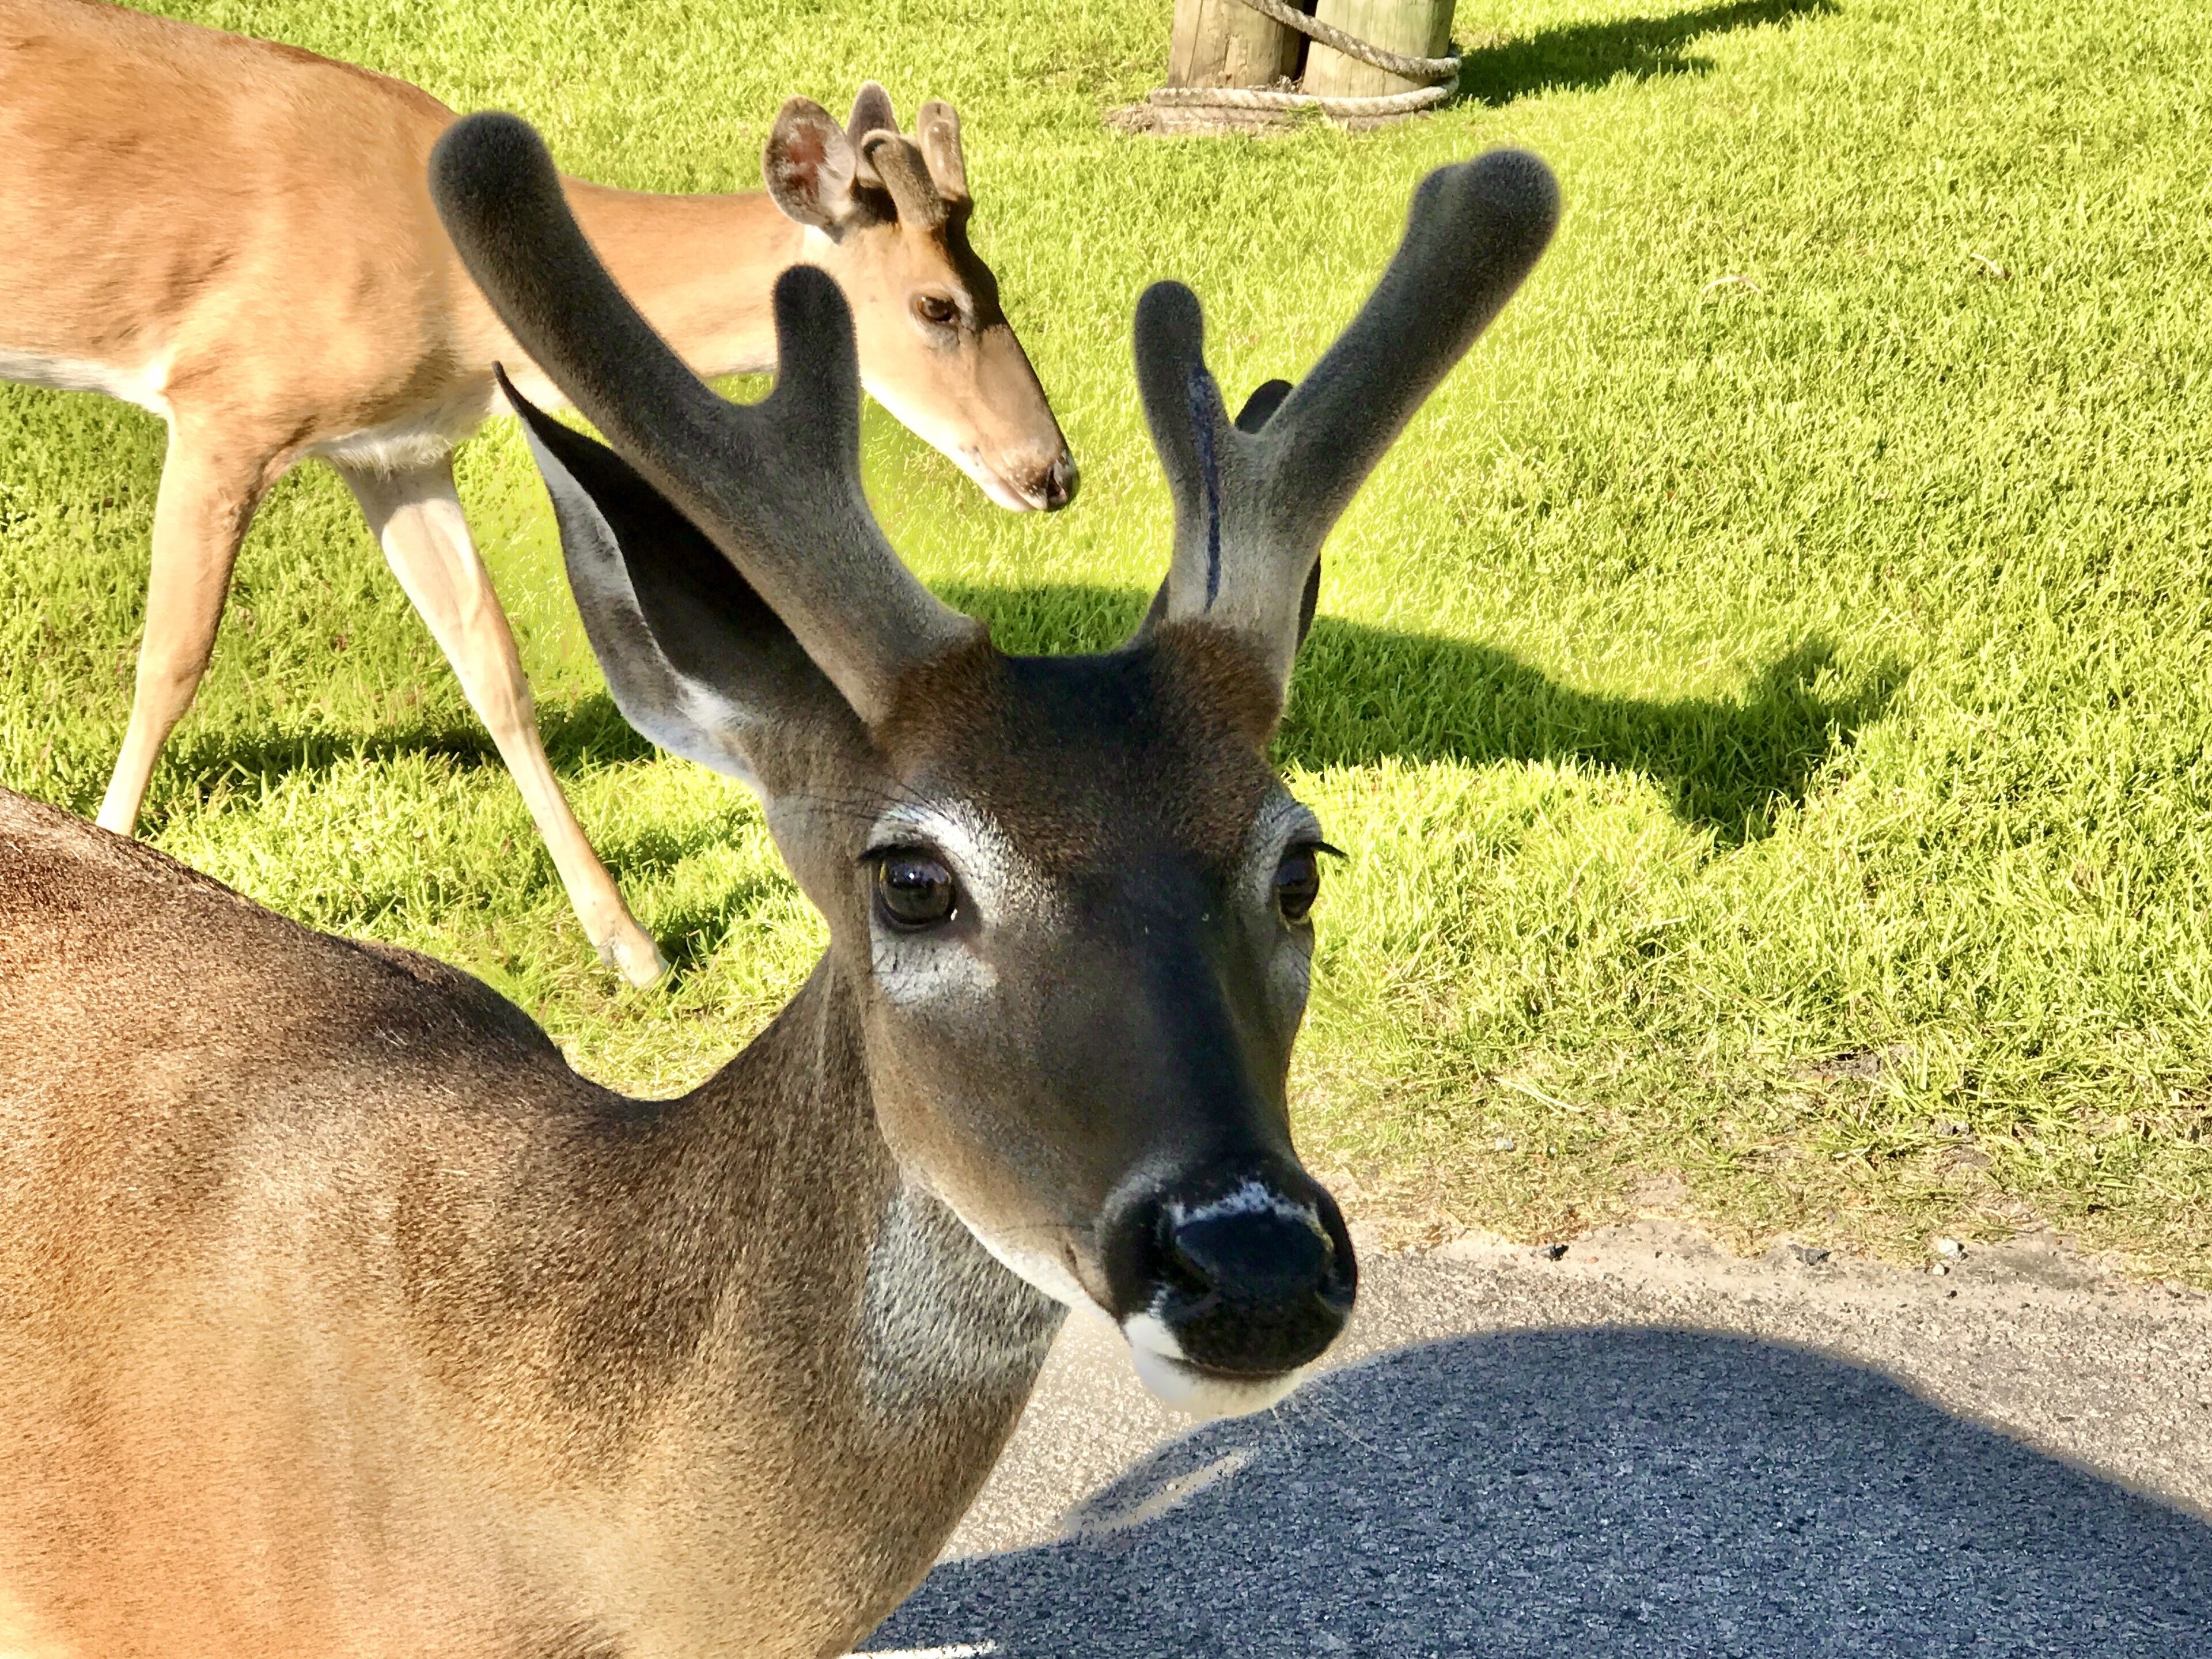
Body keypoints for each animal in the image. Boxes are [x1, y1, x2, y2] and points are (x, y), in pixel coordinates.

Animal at [0, 0, 1075, 988]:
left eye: (994, 279)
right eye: (938, 305)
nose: (1055, 473)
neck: (454, 295)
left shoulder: (396, 449)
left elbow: (493, 666)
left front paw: (632, 945)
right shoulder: (230, 401)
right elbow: (172, 660)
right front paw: (115, 856)